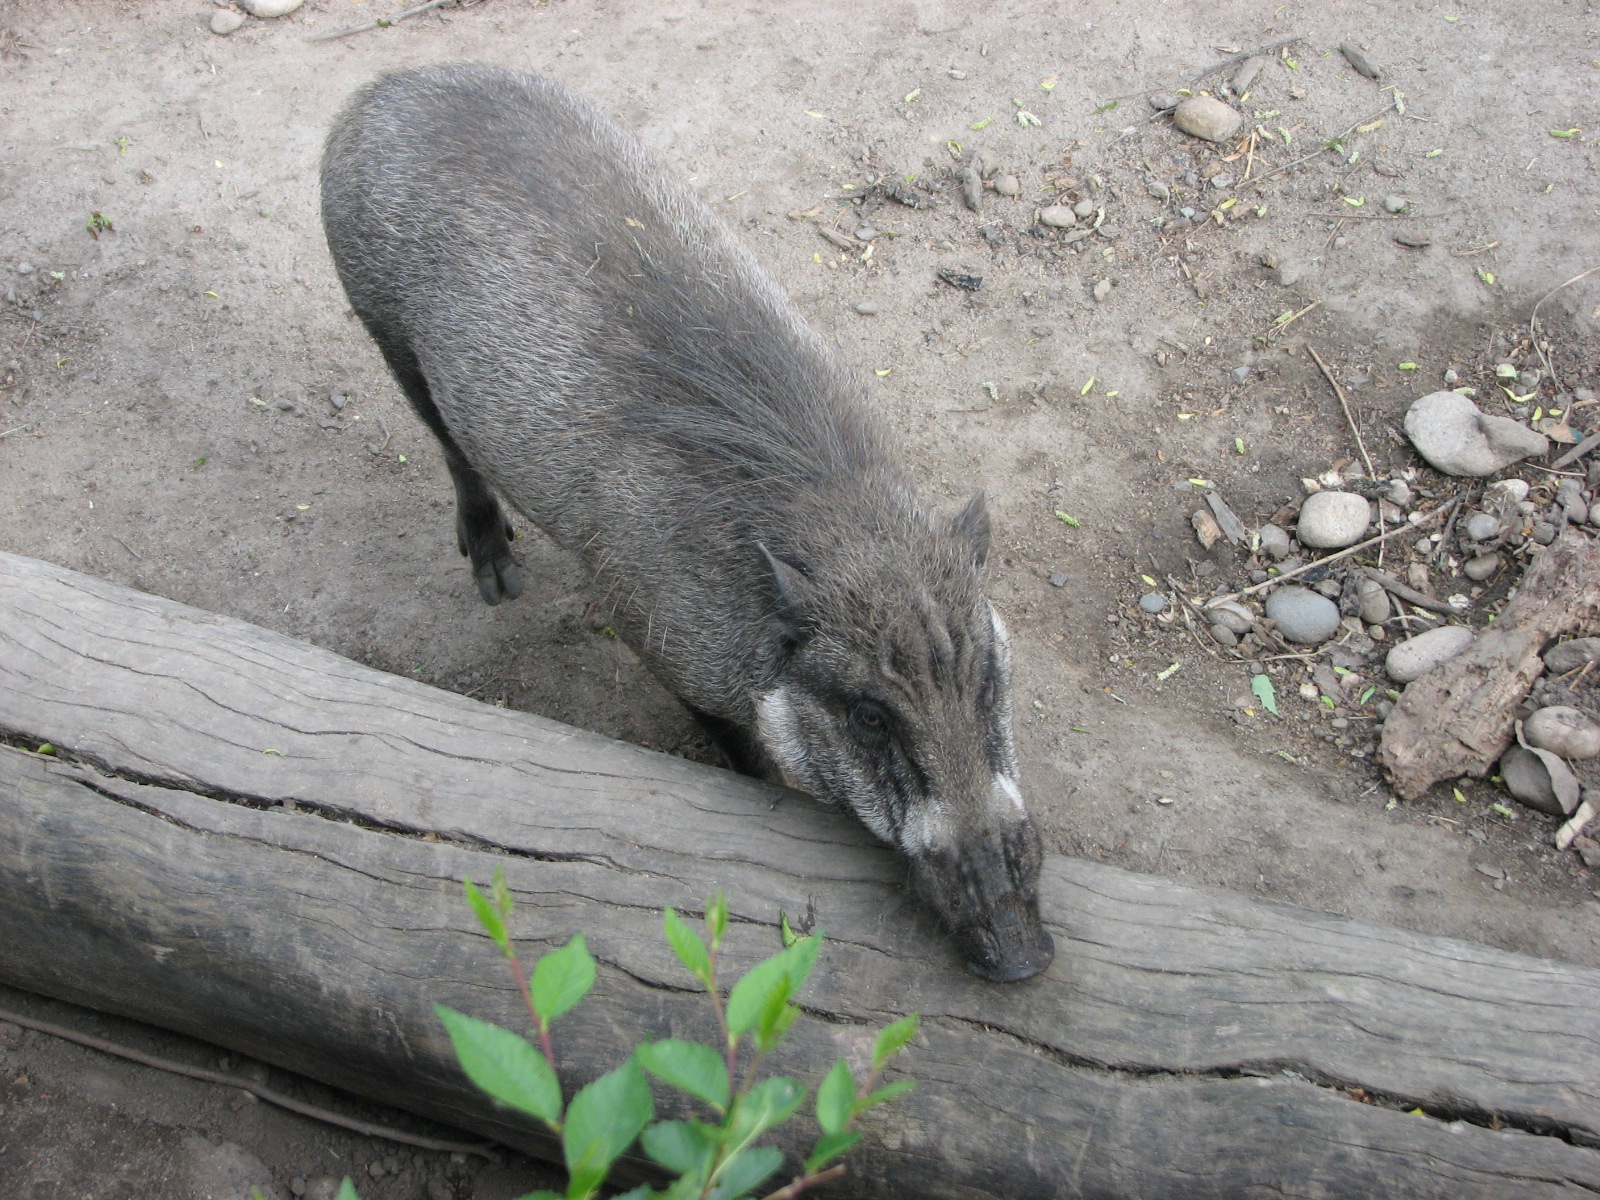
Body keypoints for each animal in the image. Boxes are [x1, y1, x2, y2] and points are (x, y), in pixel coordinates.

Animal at [320, 65, 1053, 981]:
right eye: (869, 716)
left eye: (988, 676)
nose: (1025, 962)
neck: (845, 534)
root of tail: (380, 89)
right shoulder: (660, 640)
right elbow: (736, 746)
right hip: (384, 329)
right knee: (452, 451)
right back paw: (497, 578)